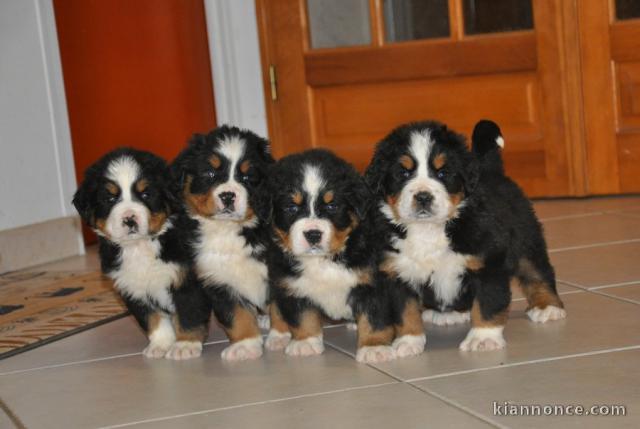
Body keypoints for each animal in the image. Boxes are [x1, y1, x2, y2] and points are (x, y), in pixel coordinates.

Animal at [73, 149, 210, 360]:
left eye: (146, 194)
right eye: (110, 198)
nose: (129, 219)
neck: (140, 247)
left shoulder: (186, 280)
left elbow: (189, 315)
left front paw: (185, 346)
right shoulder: (133, 288)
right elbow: (153, 320)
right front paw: (160, 345)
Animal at [172, 124, 276, 362]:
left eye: (247, 177)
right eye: (210, 173)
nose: (228, 195)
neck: (227, 230)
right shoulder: (218, 279)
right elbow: (236, 315)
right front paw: (245, 345)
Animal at [264, 149, 396, 362]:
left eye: (332, 206)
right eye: (291, 208)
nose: (313, 234)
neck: (323, 259)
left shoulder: (372, 281)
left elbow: (374, 316)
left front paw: (374, 347)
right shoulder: (292, 283)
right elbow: (302, 316)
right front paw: (305, 342)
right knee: (276, 305)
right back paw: (278, 336)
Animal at [364, 119, 564, 352]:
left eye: (443, 173)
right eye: (403, 173)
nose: (423, 196)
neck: (428, 229)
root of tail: (490, 169)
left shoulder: (488, 264)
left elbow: (487, 304)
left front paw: (483, 337)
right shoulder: (397, 272)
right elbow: (405, 312)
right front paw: (408, 342)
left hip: (525, 241)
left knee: (537, 273)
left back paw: (548, 306)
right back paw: (448, 314)